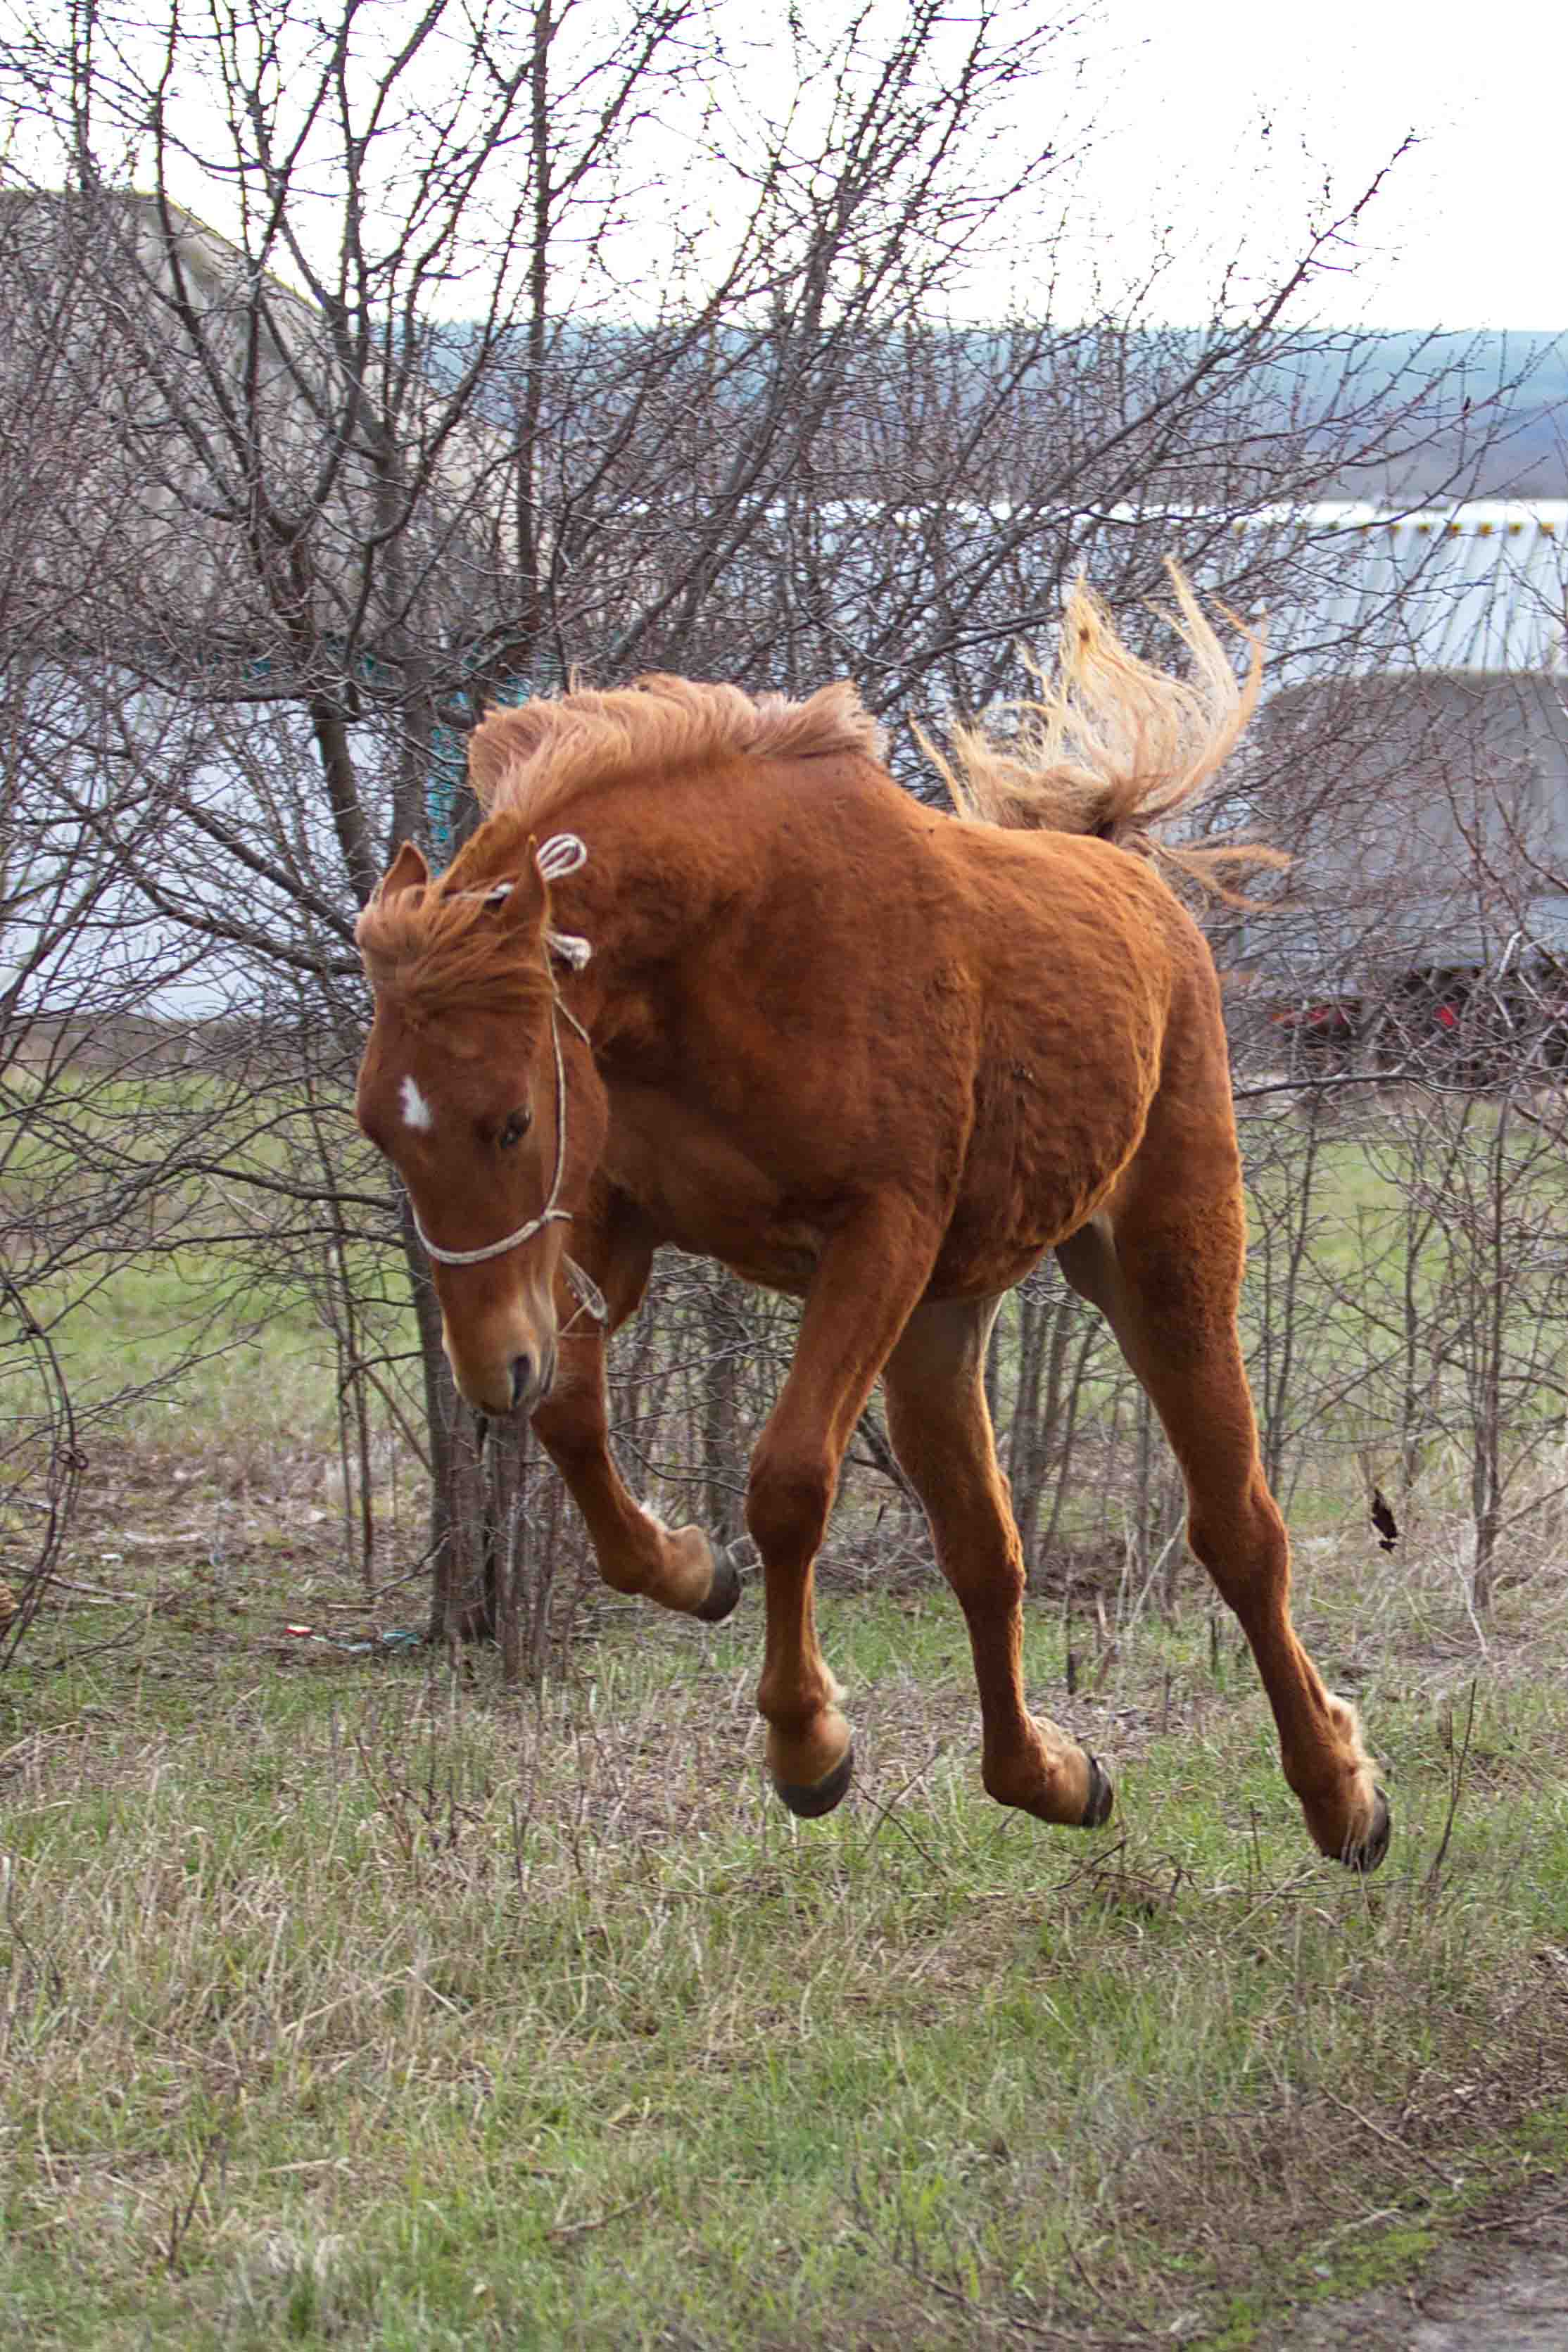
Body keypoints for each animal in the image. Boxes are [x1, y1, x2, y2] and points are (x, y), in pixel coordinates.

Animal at [355, 574, 1382, 1872]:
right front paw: (689, 1569)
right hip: (941, 1326)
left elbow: (788, 1481)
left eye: (510, 1120)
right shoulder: (613, 1222)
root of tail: (1131, 881)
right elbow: (576, 1415)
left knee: (1239, 1531)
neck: (734, 949)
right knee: (987, 1552)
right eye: (380, 1131)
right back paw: (1051, 1775)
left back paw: (1339, 1794)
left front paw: (808, 1744)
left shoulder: (875, 1242)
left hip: (1162, 1262)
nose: (491, 1370)